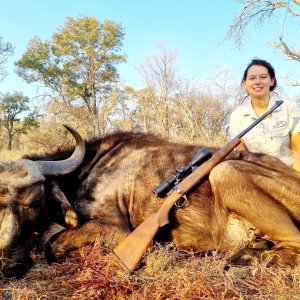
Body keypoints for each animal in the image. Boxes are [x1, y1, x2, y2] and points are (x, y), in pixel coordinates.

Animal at [0, 125, 300, 276]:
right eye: (1, 205)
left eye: (34, 202)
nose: (9, 266)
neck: (89, 165)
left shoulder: (115, 231)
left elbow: (52, 245)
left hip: (226, 172)